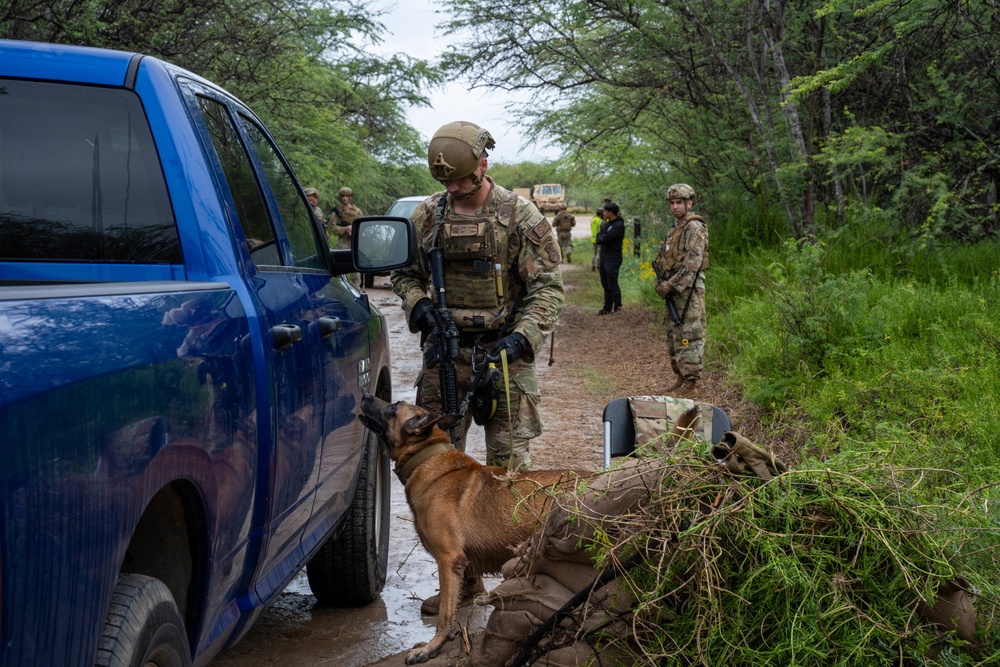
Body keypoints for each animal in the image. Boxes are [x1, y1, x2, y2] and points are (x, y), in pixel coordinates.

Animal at [360, 394, 588, 664]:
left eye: (394, 407)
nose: (365, 395)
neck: (427, 457)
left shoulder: (449, 561)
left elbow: (445, 615)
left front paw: (432, 647)